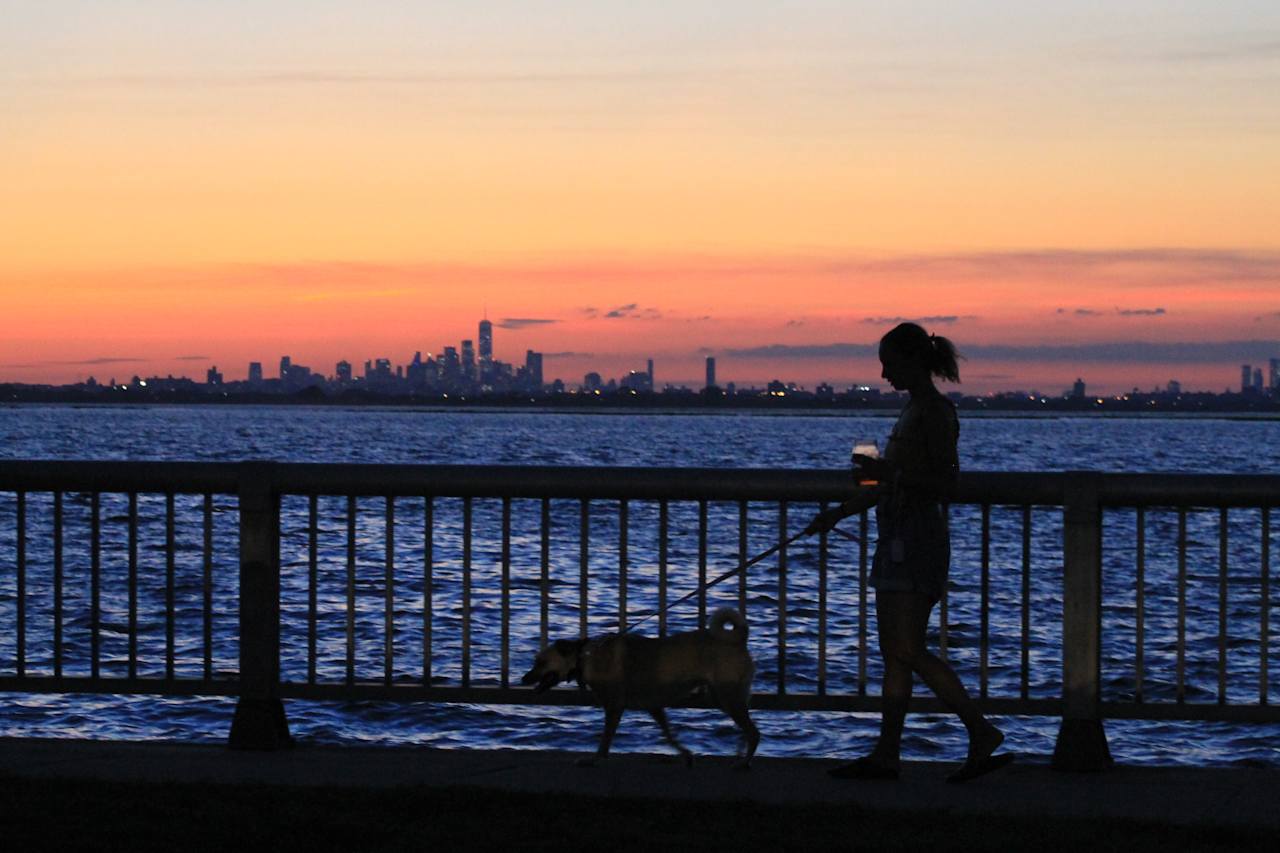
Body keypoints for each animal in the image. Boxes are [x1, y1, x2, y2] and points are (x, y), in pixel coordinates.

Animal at [519, 601, 757, 768]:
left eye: (541, 662)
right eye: (535, 660)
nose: (524, 679)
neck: (584, 659)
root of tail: (739, 640)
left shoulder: (614, 707)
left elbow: (605, 740)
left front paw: (593, 760)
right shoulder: (654, 707)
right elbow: (669, 735)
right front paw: (686, 755)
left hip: (728, 696)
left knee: (754, 732)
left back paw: (744, 762)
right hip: (723, 696)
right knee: (746, 729)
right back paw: (740, 756)